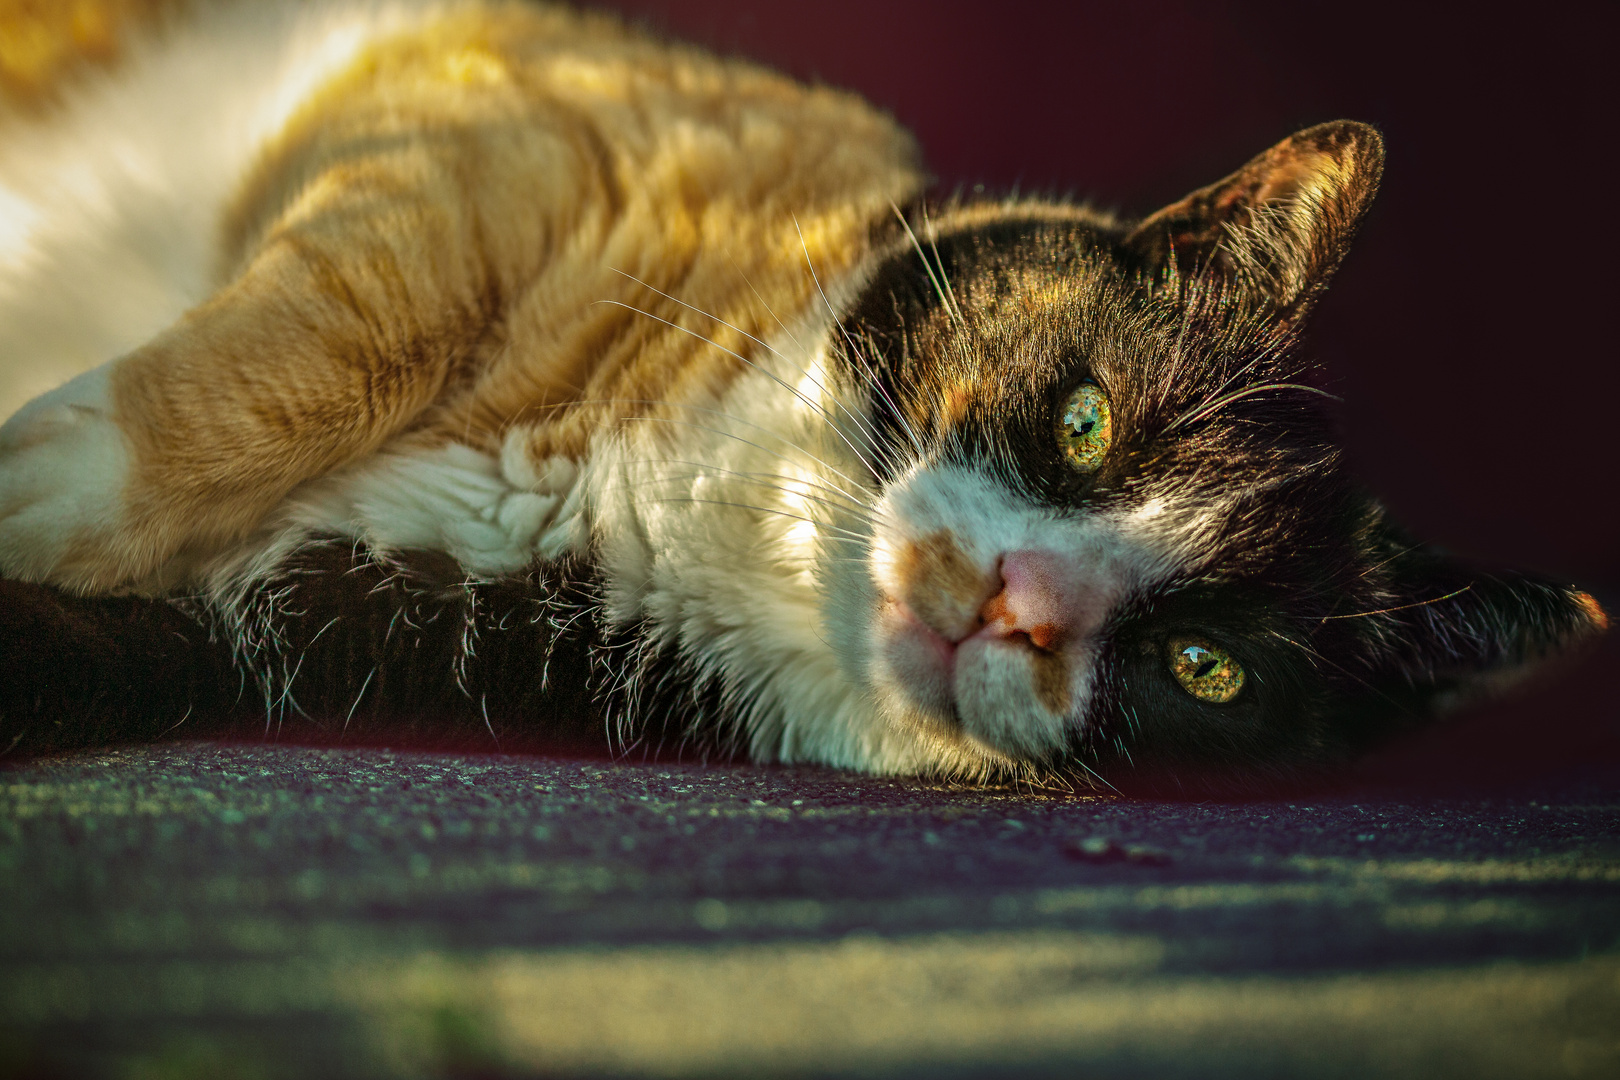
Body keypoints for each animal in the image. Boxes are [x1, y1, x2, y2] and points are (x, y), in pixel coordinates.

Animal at [0, 0, 1600, 793]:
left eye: (1205, 667)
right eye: (1083, 423)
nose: (1024, 604)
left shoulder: (330, 623)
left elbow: (107, 655)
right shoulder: (495, 116)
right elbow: (358, 317)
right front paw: (47, 483)